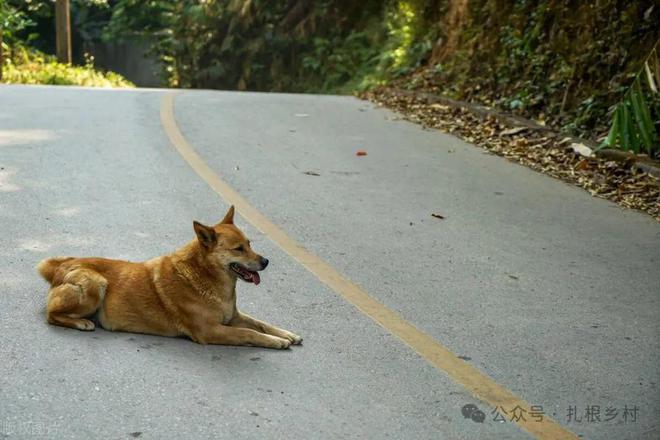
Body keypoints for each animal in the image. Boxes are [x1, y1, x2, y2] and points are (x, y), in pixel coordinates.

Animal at [37, 207, 300, 350]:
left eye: (249, 244)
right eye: (238, 249)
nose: (266, 261)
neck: (205, 276)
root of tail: (61, 265)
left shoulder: (233, 316)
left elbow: (260, 323)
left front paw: (286, 334)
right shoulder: (210, 331)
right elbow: (249, 333)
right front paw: (275, 341)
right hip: (96, 283)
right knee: (51, 315)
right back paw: (81, 322)